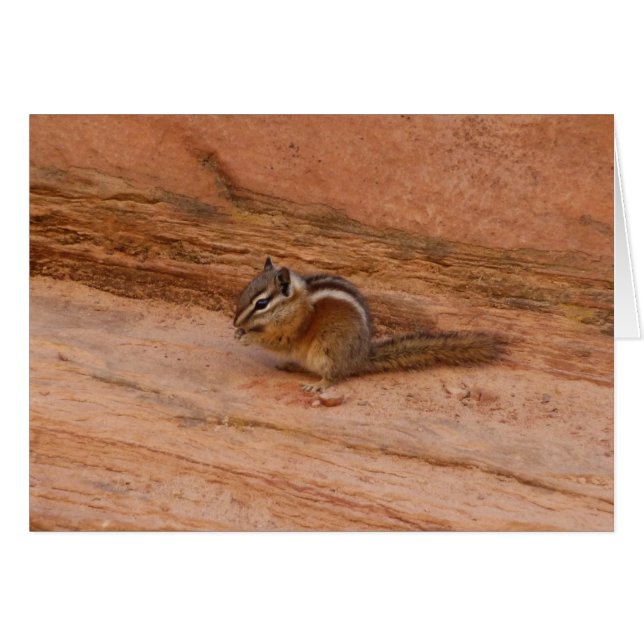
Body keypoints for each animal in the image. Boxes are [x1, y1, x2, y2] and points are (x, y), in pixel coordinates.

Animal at [233, 257, 506, 392]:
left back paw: (318, 384)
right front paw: (239, 332)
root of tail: (360, 357)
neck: (296, 303)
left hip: (328, 349)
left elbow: (277, 341)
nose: (235, 321)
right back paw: (291, 366)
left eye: (261, 303)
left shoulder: (294, 330)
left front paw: (248, 336)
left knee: (335, 375)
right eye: (245, 291)